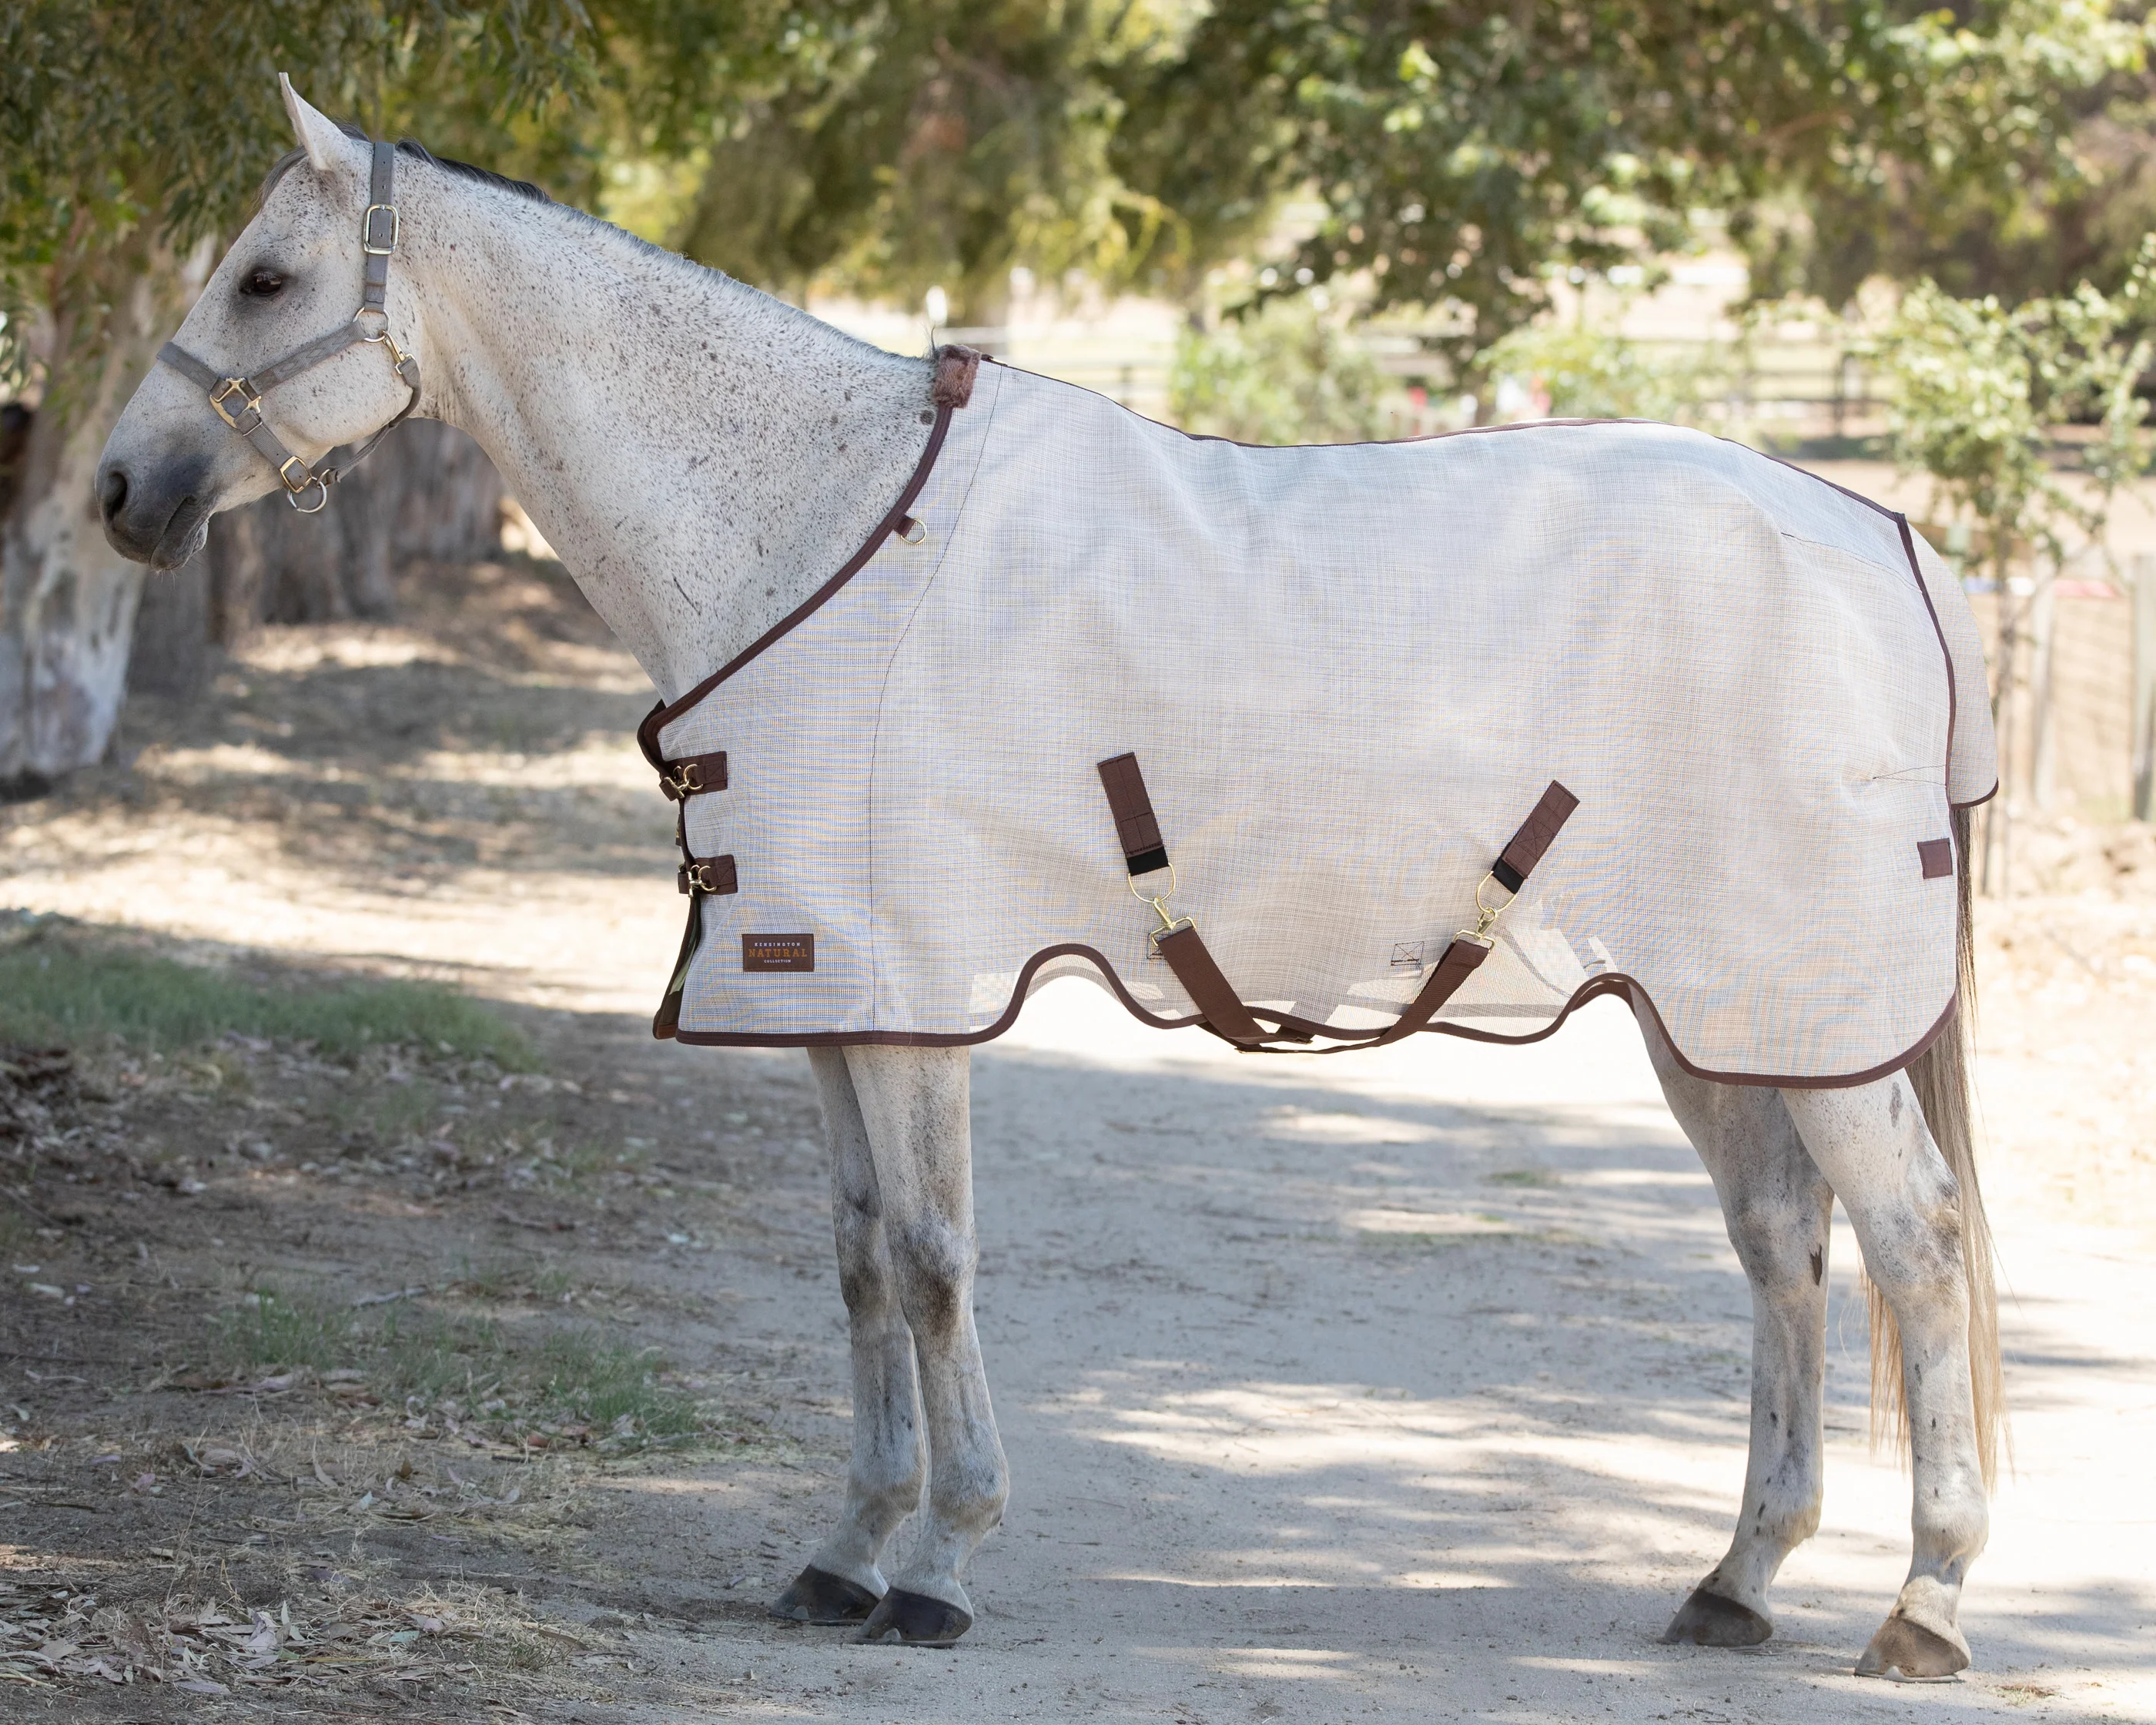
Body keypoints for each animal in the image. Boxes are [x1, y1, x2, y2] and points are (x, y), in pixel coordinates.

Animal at [95, 77, 2002, 1676]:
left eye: (265, 279)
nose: (118, 489)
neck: (818, 525)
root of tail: (1884, 538)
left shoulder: (915, 995)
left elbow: (935, 1256)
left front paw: (942, 1565)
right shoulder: (826, 992)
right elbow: (859, 1257)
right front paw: (845, 1551)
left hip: (1801, 1010)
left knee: (1911, 1244)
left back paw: (1920, 1602)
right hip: (1722, 1017)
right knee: (1778, 1245)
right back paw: (1736, 1578)